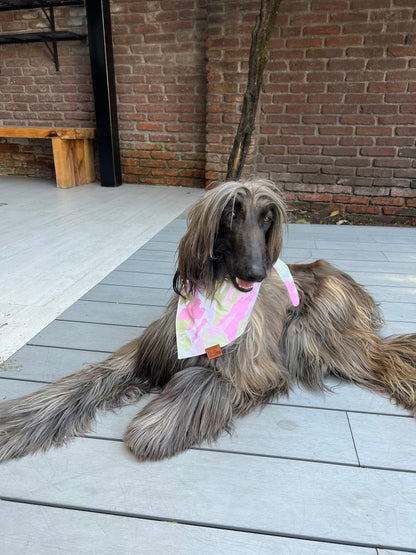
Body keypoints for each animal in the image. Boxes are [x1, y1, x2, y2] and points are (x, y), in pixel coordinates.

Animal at [0, 180, 416, 462]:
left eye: (267, 217)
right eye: (230, 213)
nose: (257, 274)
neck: (215, 298)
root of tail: (333, 270)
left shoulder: (252, 366)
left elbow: (203, 378)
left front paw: (155, 427)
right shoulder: (149, 351)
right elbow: (86, 380)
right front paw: (17, 423)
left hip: (313, 331)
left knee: (383, 355)